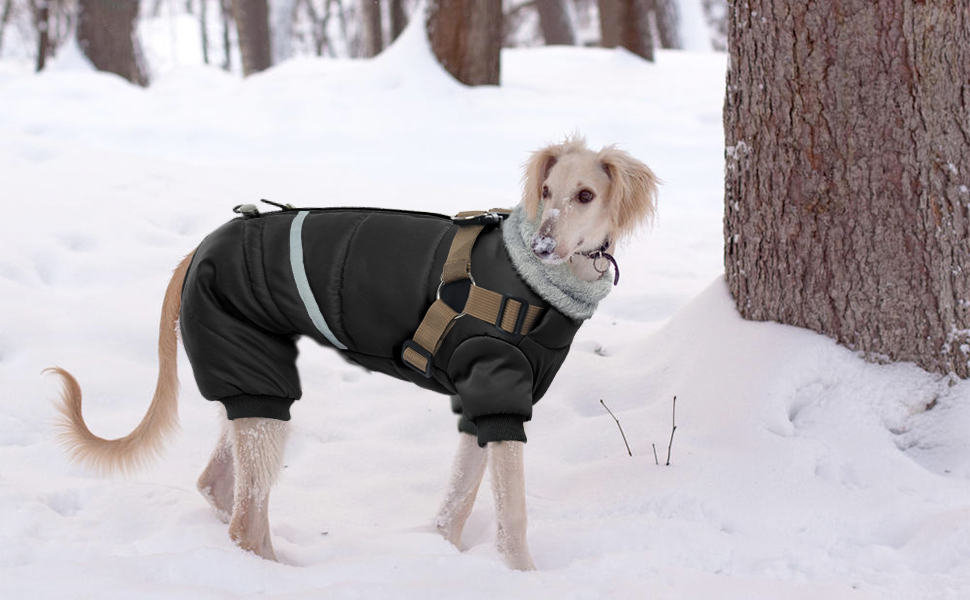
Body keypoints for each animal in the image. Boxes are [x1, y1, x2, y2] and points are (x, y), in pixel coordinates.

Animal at [45, 137, 656, 572]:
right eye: (546, 191)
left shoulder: (481, 405)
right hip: (260, 384)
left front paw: (442, 556)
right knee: (245, 524)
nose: (542, 245)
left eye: (585, 195)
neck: (533, 283)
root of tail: (198, 248)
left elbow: (456, 505)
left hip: (251, 388)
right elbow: (514, 520)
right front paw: (521, 577)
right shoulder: (497, 391)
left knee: (219, 489)